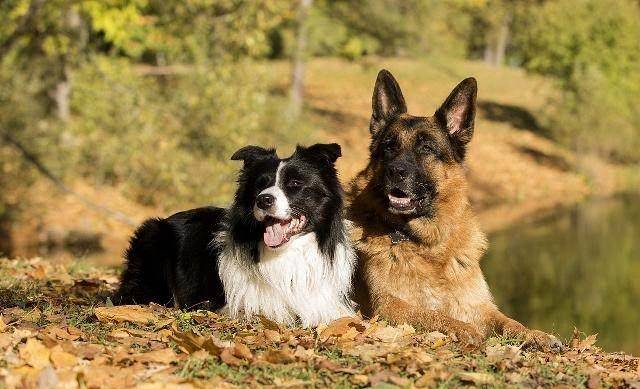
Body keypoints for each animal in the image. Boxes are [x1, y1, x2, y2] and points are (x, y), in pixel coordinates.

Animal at [348, 67, 564, 348]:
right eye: (388, 146)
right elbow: (432, 314)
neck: (428, 246)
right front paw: (461, 328)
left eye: (427, 148)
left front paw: (535, 334)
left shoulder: (478, 305)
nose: (396, 172)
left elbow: (509, 322)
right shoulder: (388, 306)